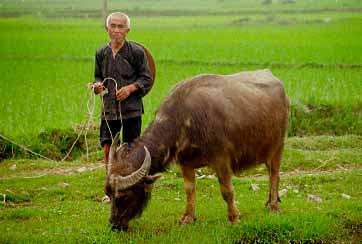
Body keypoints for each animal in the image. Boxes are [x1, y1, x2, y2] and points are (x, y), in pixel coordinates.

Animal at [104, 69, 288, 231]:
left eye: (123, 196)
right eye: (108, 194)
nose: (114, 225)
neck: (185, 120)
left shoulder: (221, 161)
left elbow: (227, 191)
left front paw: (234, 218)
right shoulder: (185, 163)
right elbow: (189, 190)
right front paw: (188, 218)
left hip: (278, 148)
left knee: (274, 175)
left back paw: (273, 207)